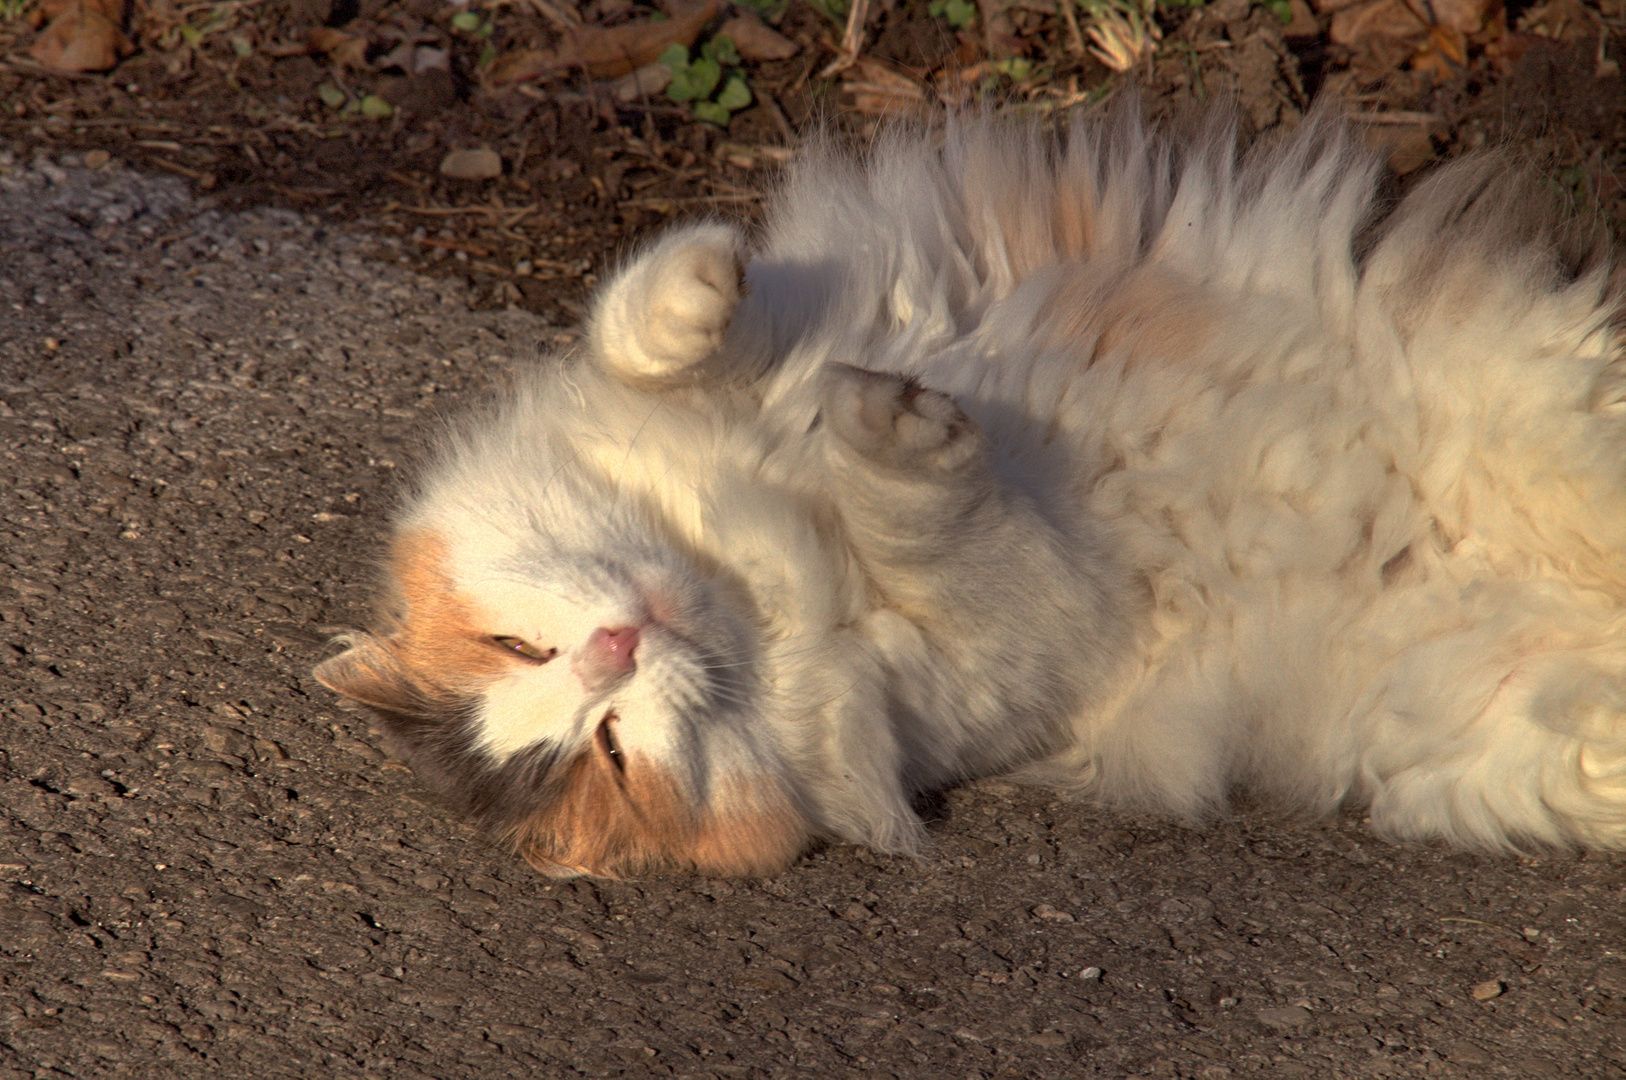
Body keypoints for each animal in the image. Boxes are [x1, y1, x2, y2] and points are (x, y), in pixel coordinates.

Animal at [313, 105, 1626, 878]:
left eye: (516, 646)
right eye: (616, 755)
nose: (613, 650)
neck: (760, 556)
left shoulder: (812, 325)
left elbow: (634, 319)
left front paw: (711, 292)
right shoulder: (1041, 634)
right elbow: (946, 517)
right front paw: (894, 432)